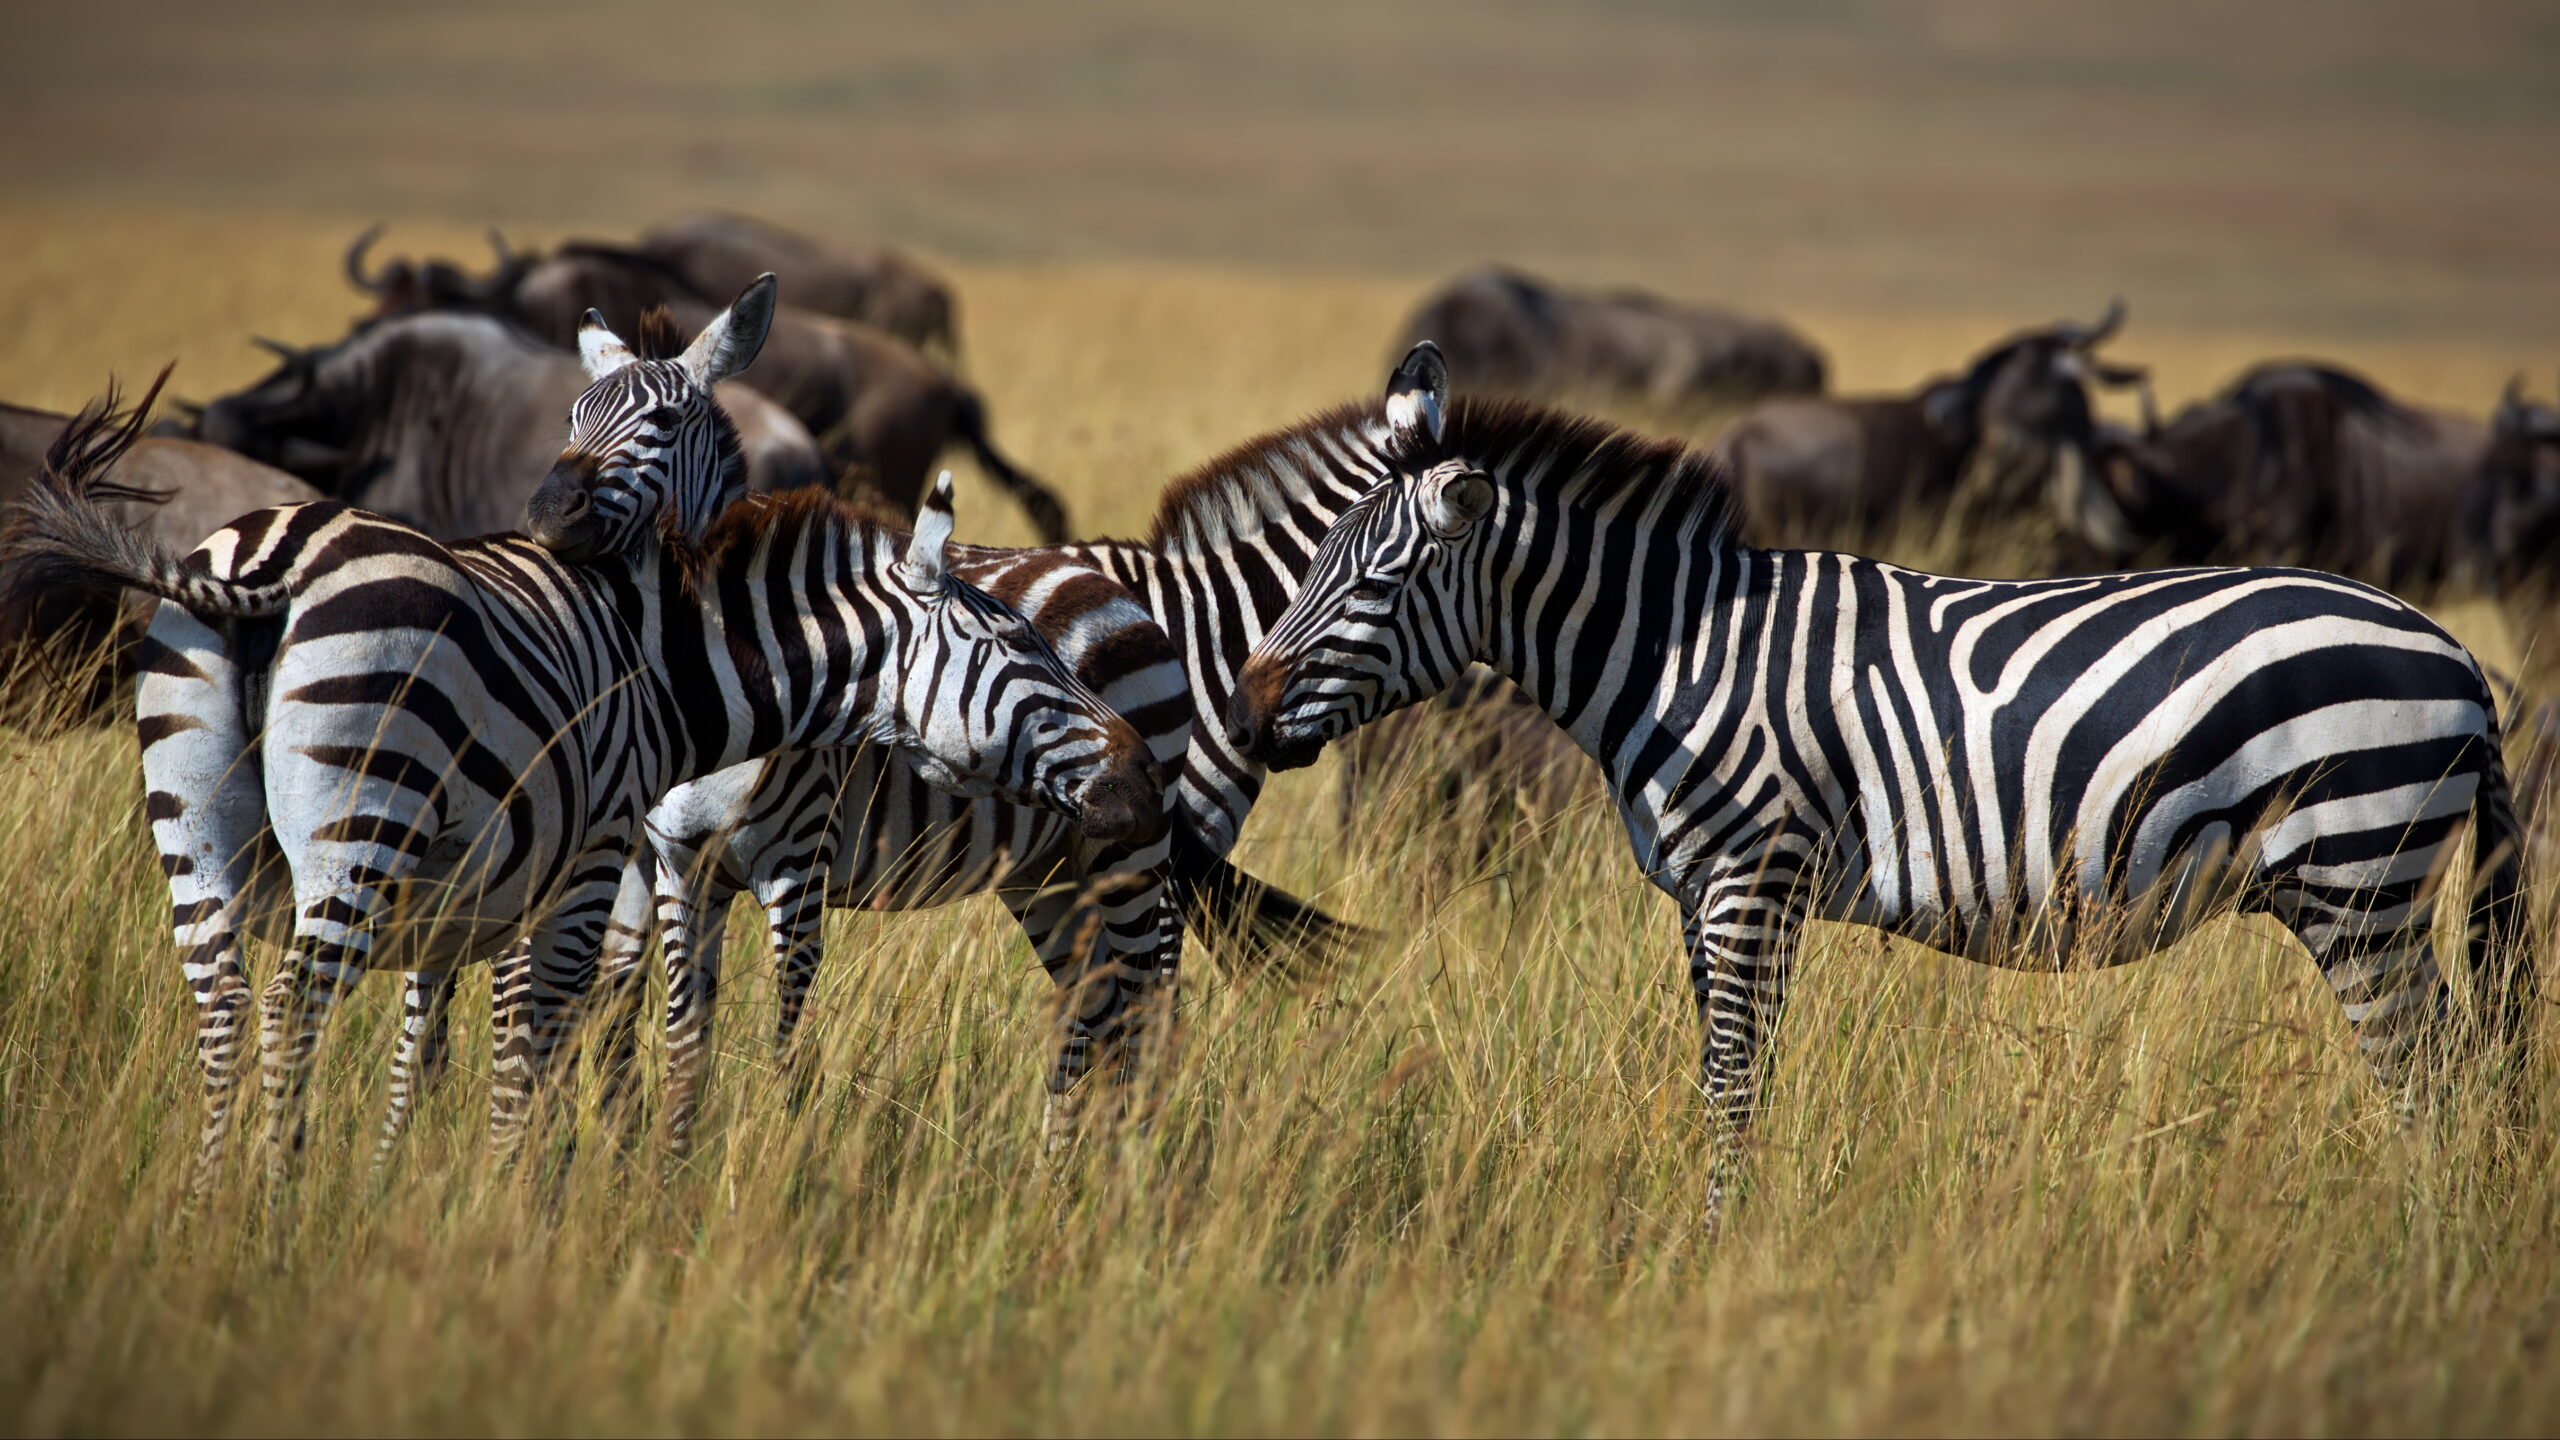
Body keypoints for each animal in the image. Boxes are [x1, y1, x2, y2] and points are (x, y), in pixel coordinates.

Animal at [2, 282, 1164, 1190]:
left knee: (226, 1008)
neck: (667, 667)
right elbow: (548, 1038)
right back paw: (276, 1210)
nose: (1135, 774)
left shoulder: (567, 881)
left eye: (665, 423)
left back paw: (215, 1206)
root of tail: (268, 559)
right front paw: (521, 1201)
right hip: (358, 832)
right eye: (1012, 645)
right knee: (294, 1009)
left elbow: (531, 1040)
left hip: (199, 830)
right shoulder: (601, 856)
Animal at [1229, 342, 2536, 1231]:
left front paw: (1712, 1251)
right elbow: (1725, 1072)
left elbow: (1730, 1082)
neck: (1677, 653)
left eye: (1373, 585)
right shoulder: (1705, 897)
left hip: (2358, 874)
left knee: (2428, 1075)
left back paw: (2415, 1239)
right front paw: (1728, 1230)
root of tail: (2455, 655)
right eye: (1308, 563)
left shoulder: (1751, 877)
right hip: (2369, 887)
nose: (1241, 709)